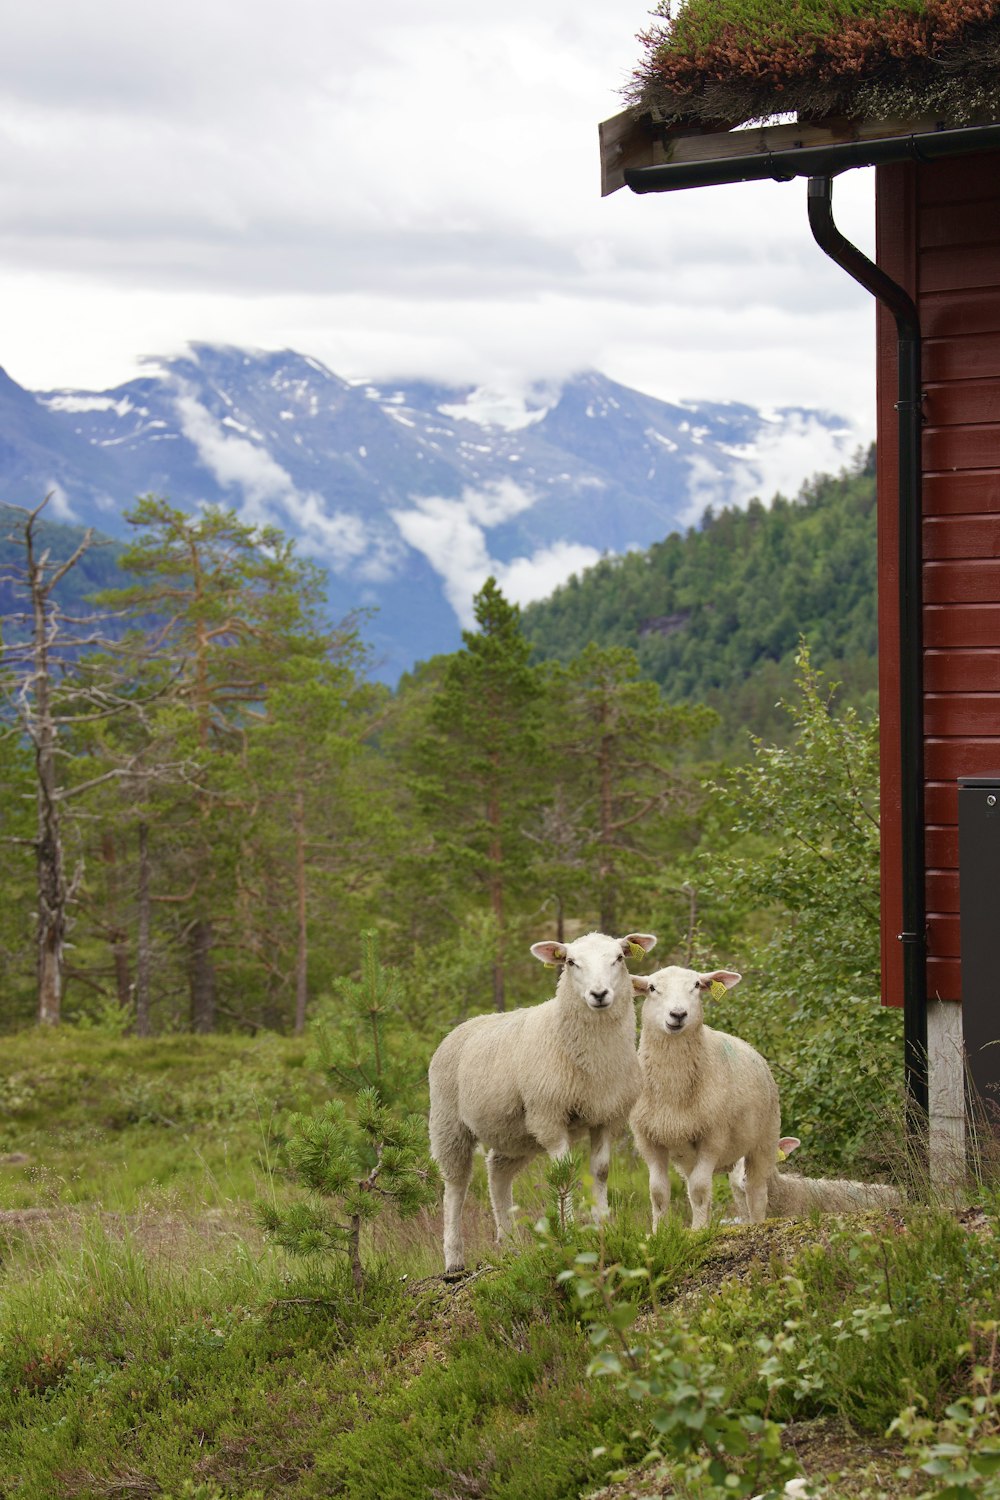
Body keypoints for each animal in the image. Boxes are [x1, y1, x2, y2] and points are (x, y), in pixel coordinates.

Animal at [428, 930, 656, 1272]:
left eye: (619, 958)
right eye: (571, 962)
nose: (599, 994)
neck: (594, 1060)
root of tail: (464, 1026)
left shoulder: (606, 1116)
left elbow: (601, 1171)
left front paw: (603, 1226)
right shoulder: (550, 1116)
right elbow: (565, 1174)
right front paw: (570, 1231)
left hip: (516, 1134)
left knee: (497, 1173)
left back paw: (510, 1245)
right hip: (448, 1123)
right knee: (456, 1185)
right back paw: (454, 1260)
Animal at [629, 972, 779, 1230]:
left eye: (697, 985)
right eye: (652, 988)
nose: (678, 1014)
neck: (673, 1088)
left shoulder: (713, 1136)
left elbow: (699, 1189)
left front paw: (698, 1231)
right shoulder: (648, 1139)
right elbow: (658, 1192)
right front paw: (659, 1232)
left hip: (765, 1140)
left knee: (756, 1191)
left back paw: (756, 1223)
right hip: (688, 1155)